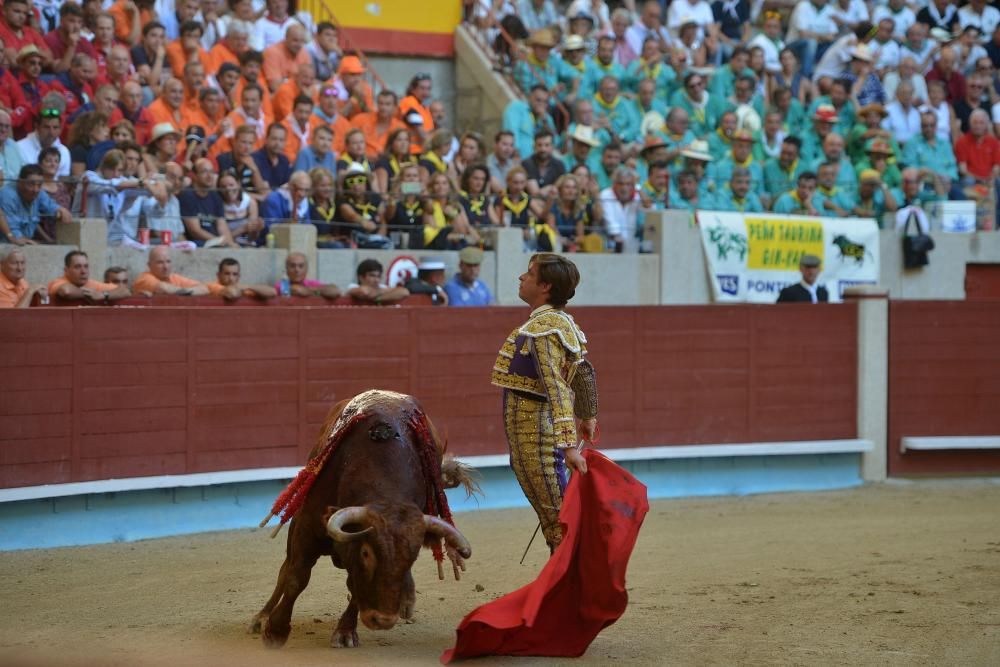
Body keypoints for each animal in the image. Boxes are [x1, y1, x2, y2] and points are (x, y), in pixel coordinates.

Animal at [246, 388, 472, 648]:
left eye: (413, 557)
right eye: (366, 553)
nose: (382, 620)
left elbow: (354, 587)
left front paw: (345, 631)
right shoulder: (306, 527)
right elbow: (296, 576)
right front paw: (275, 631)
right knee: (285, 569)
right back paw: (261, 618)